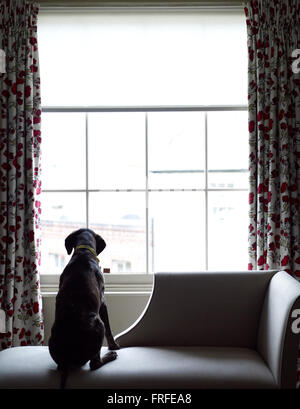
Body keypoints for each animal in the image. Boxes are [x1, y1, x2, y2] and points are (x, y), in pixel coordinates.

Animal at [49, 228, 119, 388]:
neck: (83, 252)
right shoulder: (103, 302)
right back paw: (110, 355)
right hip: (99, 324)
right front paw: (113, 346)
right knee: (95, 364)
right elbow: (110, 330)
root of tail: (66, 359)